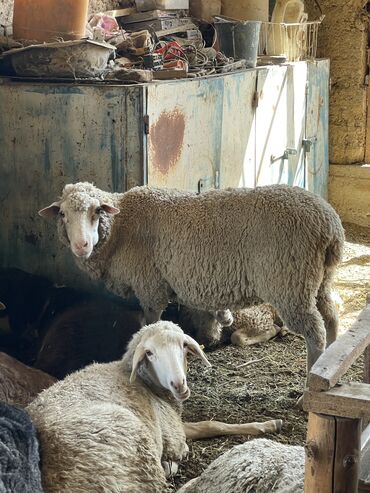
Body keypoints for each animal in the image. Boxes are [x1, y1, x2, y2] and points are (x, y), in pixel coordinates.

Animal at [27, 320, 282, 490]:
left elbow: (208, 425)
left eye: (183, 346)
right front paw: (268, 424)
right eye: (149, 353)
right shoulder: (171, 430)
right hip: (137, 458)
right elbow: (211, 425)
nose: (179, 385)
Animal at [39, 182, 346, 372]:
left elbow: (151, 322)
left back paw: (310, 383)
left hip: (290, 283)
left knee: (315, 331)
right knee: (331, 318)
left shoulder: (150, 286)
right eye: (63, 214)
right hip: (320, 279)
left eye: (96, 212)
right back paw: (328, 366)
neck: (122, 227)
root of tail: (329, 224)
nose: (81, 246)